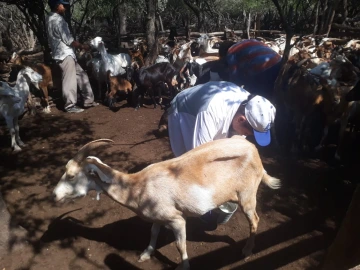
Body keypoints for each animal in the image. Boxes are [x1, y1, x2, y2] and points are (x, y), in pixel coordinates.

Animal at [53, 138, 282, 268]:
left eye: (71, 176)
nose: (54, 196)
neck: (138, 186)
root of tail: (255, 152)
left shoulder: (176, 220)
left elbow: (181, 245)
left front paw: (184, 266)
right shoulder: (157, 215)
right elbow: (153, 232)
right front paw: (145, 255)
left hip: (247, 195)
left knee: (255, 219)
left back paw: (247, 250)